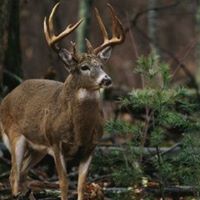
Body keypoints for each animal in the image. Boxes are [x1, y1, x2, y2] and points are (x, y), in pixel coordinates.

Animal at [0, 2, 124, 200]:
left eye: (101, 65)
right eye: (84, 67)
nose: (106, 79)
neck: (79, 131)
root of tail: (7, 97)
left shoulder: (91, 146)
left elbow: (81, 185)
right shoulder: (55, 142)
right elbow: (64, 183)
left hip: (37, 148)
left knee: (23, 172)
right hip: (14, 134)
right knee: (13, 173)